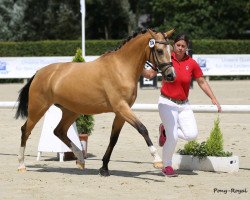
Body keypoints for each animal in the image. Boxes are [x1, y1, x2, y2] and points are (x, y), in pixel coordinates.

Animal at [15, 28, 176, 177]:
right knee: (25, 130)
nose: (171, 75)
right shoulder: (121, 107)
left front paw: (104, 168)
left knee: (59, 131)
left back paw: (80, 159)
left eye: (171, 50)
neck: (122, 67)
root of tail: (39, 73)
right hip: (38, 109)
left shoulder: (121, 112)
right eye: (159, 50)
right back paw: (21, 165)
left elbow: (113, 138)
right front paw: (157, 160)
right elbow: (142, 129)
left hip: (71, 111)